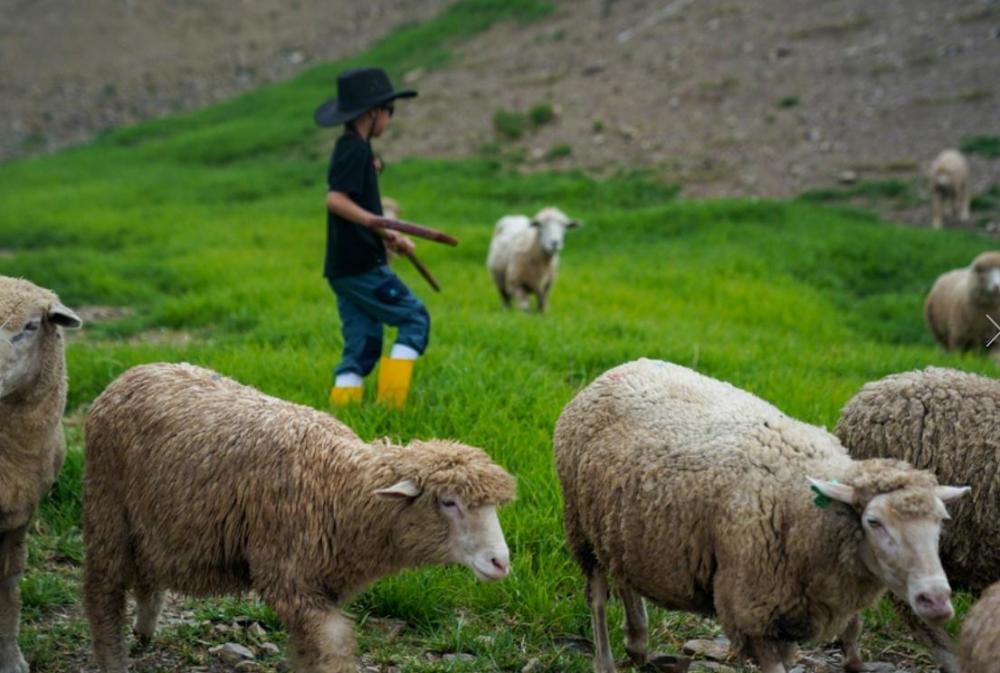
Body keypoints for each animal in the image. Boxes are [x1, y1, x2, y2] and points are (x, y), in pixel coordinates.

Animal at [84, 362, 516, 672]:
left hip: (151, 519)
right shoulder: (288, 575)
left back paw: (144, 628)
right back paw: (113, 659)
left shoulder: (321, 584)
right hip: (107, 506)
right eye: (448, 502)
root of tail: (134, 371)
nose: (501, 562)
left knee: (146, 573)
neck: (337, 485)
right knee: (103, 591)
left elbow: (311, 649)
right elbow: (334, 646)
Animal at [556, 360, 968, 672]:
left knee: (623, 575)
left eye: (941, 523)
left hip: (619, 522)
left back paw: (638, 642)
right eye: (874, 522)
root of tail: (622, 367)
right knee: (597, 596)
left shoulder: (788, 615)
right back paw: (606, 661)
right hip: (579, 524)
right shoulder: (753, 609)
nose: (937, 600)